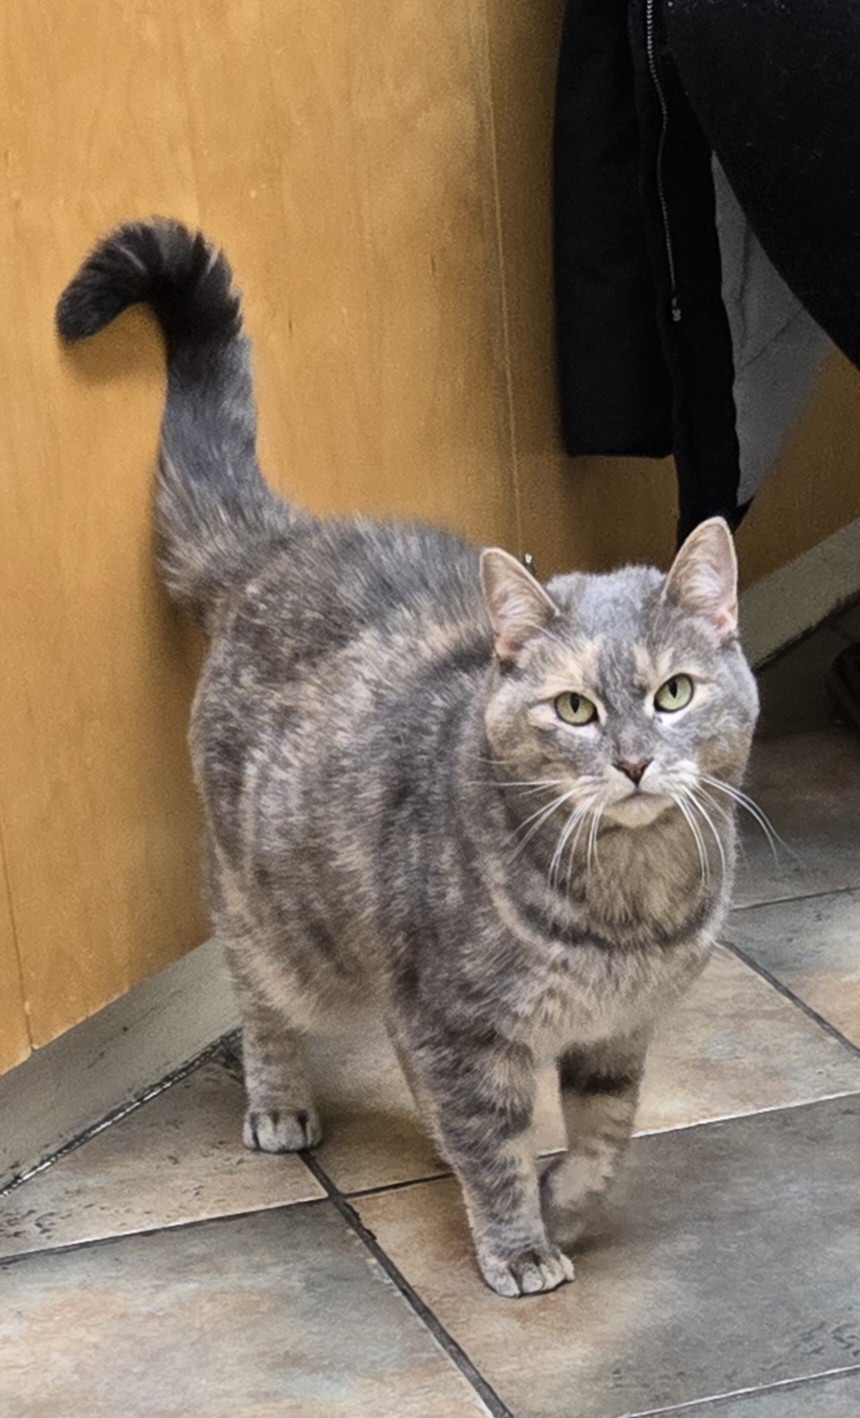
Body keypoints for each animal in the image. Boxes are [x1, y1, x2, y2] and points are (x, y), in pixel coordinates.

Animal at [57, 220, 759, 1298]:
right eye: (575, 708)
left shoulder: (613, 1034)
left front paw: (567, 1200)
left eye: (673, 693)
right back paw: (281, 1102)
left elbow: (605, 1135)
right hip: (280, 915)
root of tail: (285, 542)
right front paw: (518, 1241)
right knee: (261, 995)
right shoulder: (460, 1021)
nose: (636, 763)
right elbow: (492, 1138)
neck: (628, 906)